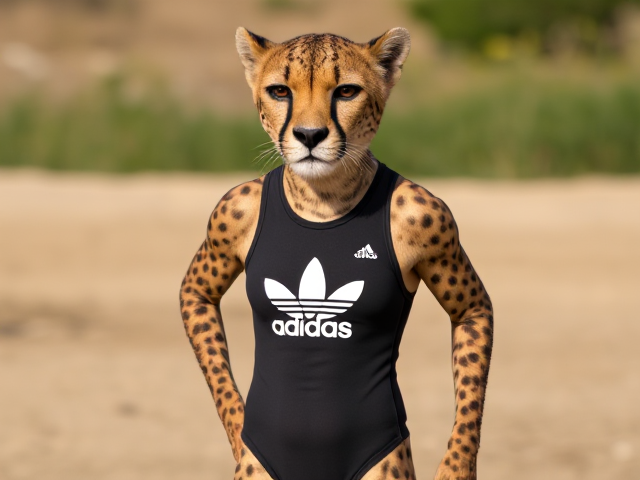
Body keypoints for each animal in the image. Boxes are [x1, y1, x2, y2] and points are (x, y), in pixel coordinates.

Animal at [179, 26, 493, 480]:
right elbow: (198, 293)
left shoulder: (435, 222)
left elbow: (471, 311)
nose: (310, 136)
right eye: (280, 91)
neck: (322, 198)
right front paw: (240, 428)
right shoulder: (226, 215)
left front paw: (456, 466)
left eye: (346, 91)